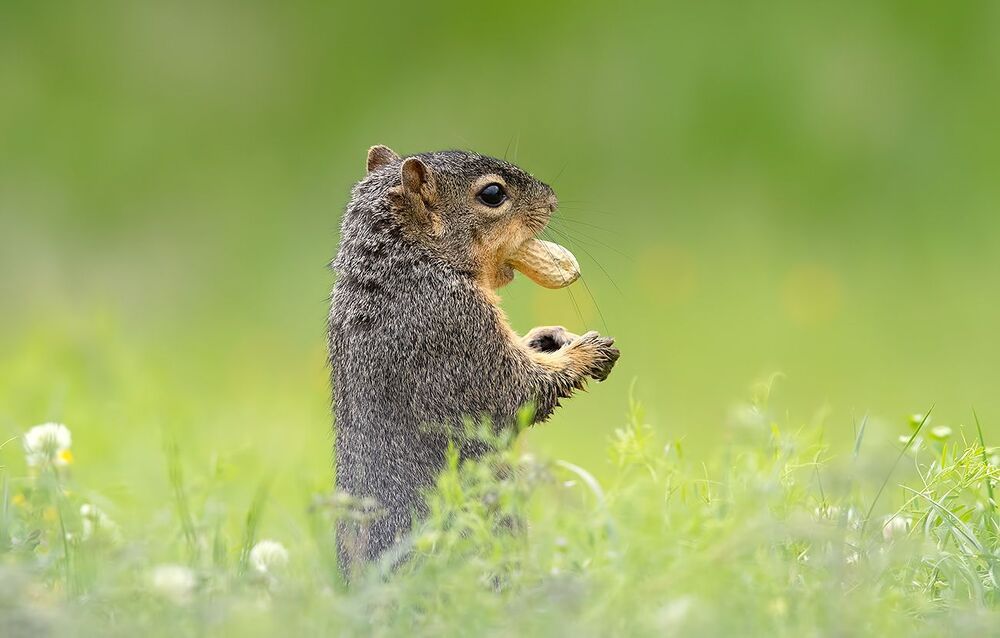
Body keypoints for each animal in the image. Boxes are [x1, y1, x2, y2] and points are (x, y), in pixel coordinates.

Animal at [328, 145, 620, 576]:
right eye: (493, 194)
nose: (552, 199)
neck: (410, 265)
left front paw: (551, 338)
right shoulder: (456, 332)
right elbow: (516, 394)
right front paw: (585, 351)